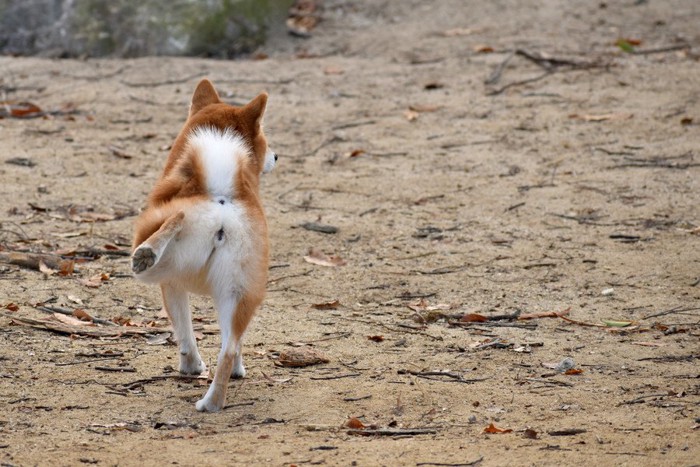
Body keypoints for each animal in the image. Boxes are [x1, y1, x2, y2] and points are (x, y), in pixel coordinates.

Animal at [131, 80, 276, 414]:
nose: (277, 157)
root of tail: (221, 198)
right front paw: (237, 370)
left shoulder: (171, 285)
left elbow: (184, 333)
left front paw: (191, 366)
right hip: (237, 294)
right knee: (229, 348)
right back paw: (212, 402)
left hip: (159, 258)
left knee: (172, 222)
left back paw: (149, 250)